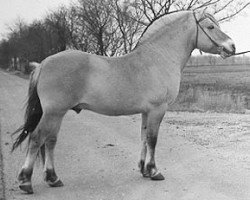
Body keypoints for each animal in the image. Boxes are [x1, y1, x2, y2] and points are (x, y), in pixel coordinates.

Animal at [11, 9, 234, 194]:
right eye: (211, 27)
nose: (232, 46)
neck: (159, 58)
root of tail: (43, 64)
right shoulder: (157, 109)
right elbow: (153, 139)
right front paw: (154, 172)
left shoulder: (147, 112)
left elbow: (144, 138)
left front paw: (144, 170)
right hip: (54, 112)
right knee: (37, 138)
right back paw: (26, 182)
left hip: (57, 113)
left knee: (50, 141)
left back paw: (53, 178)